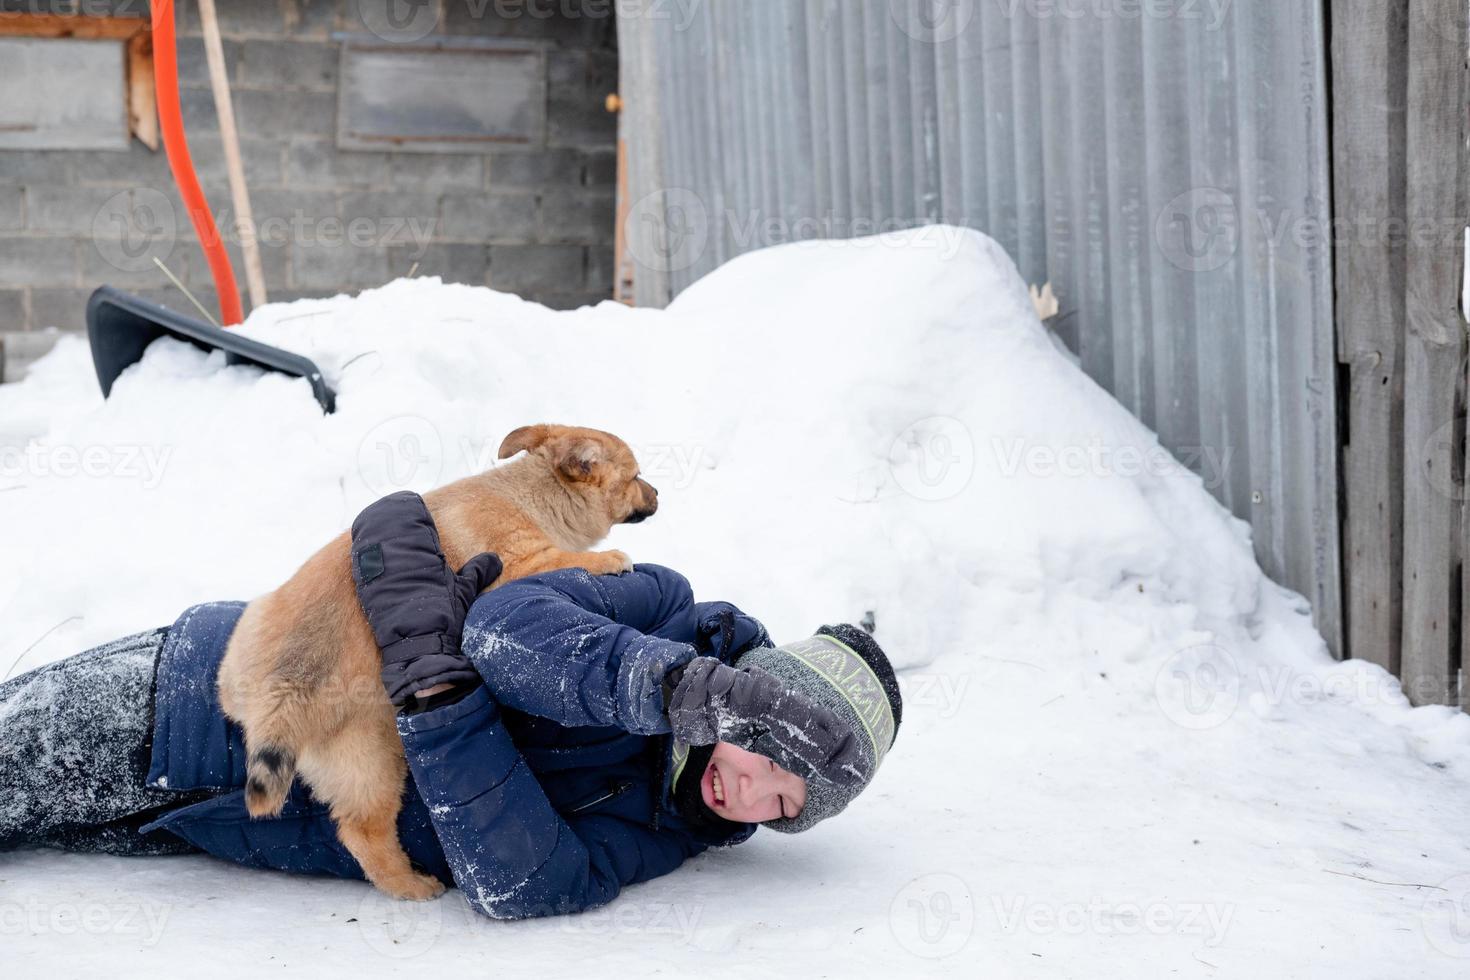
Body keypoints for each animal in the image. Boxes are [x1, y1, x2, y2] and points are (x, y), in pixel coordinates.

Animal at [214, 426, 658, 899]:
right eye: (635, 477)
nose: (658, 494)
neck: (531, 495)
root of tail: (280, 694)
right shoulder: (518, 564)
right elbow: (567, 561)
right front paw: (608, 559)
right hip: (375, 759)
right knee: (363, 831)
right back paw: (409, 885)